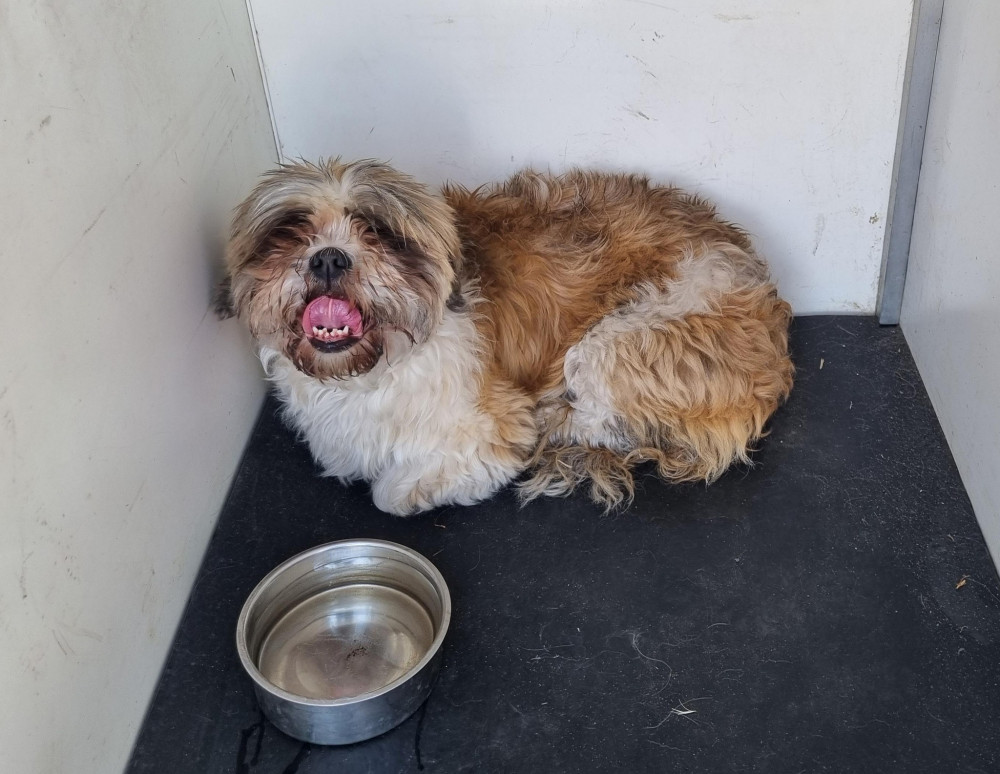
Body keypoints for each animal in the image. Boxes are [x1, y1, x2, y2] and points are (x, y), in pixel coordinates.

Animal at [215, 158, 792, 520]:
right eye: (289, 233)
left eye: (377, 232)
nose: (328, 257)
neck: (375, 368)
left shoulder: (490, 432)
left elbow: (391, 493)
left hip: (617, 345)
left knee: (603, 420)